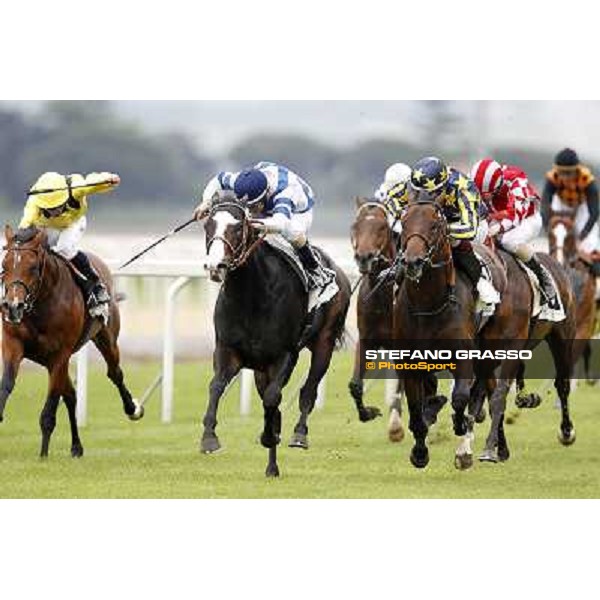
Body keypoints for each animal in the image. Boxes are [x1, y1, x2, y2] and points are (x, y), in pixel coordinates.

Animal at [0, 227, 142, 458]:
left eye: (32, 267)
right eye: (4, 266)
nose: (13, 306)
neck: (42, 304)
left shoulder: (61, 353)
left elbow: (50, 407)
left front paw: (43, 454)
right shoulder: (13, 344)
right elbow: (7, 383)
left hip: (106, 339)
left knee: (114, 373)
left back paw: (132, 409)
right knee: (71, 395)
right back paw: (76, 446)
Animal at [202, 197, 352, 478]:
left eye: (237, 228)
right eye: (208, 225)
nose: (215, 266)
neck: (251, 296)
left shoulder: (284, 355)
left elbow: (273, 398)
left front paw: (270, 437)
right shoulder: (228, 350)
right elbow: (216, 386)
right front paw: (209, 437)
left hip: (324, 343)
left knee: (308, 391)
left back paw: (298, 435)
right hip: (261, 368)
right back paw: (273, 459)